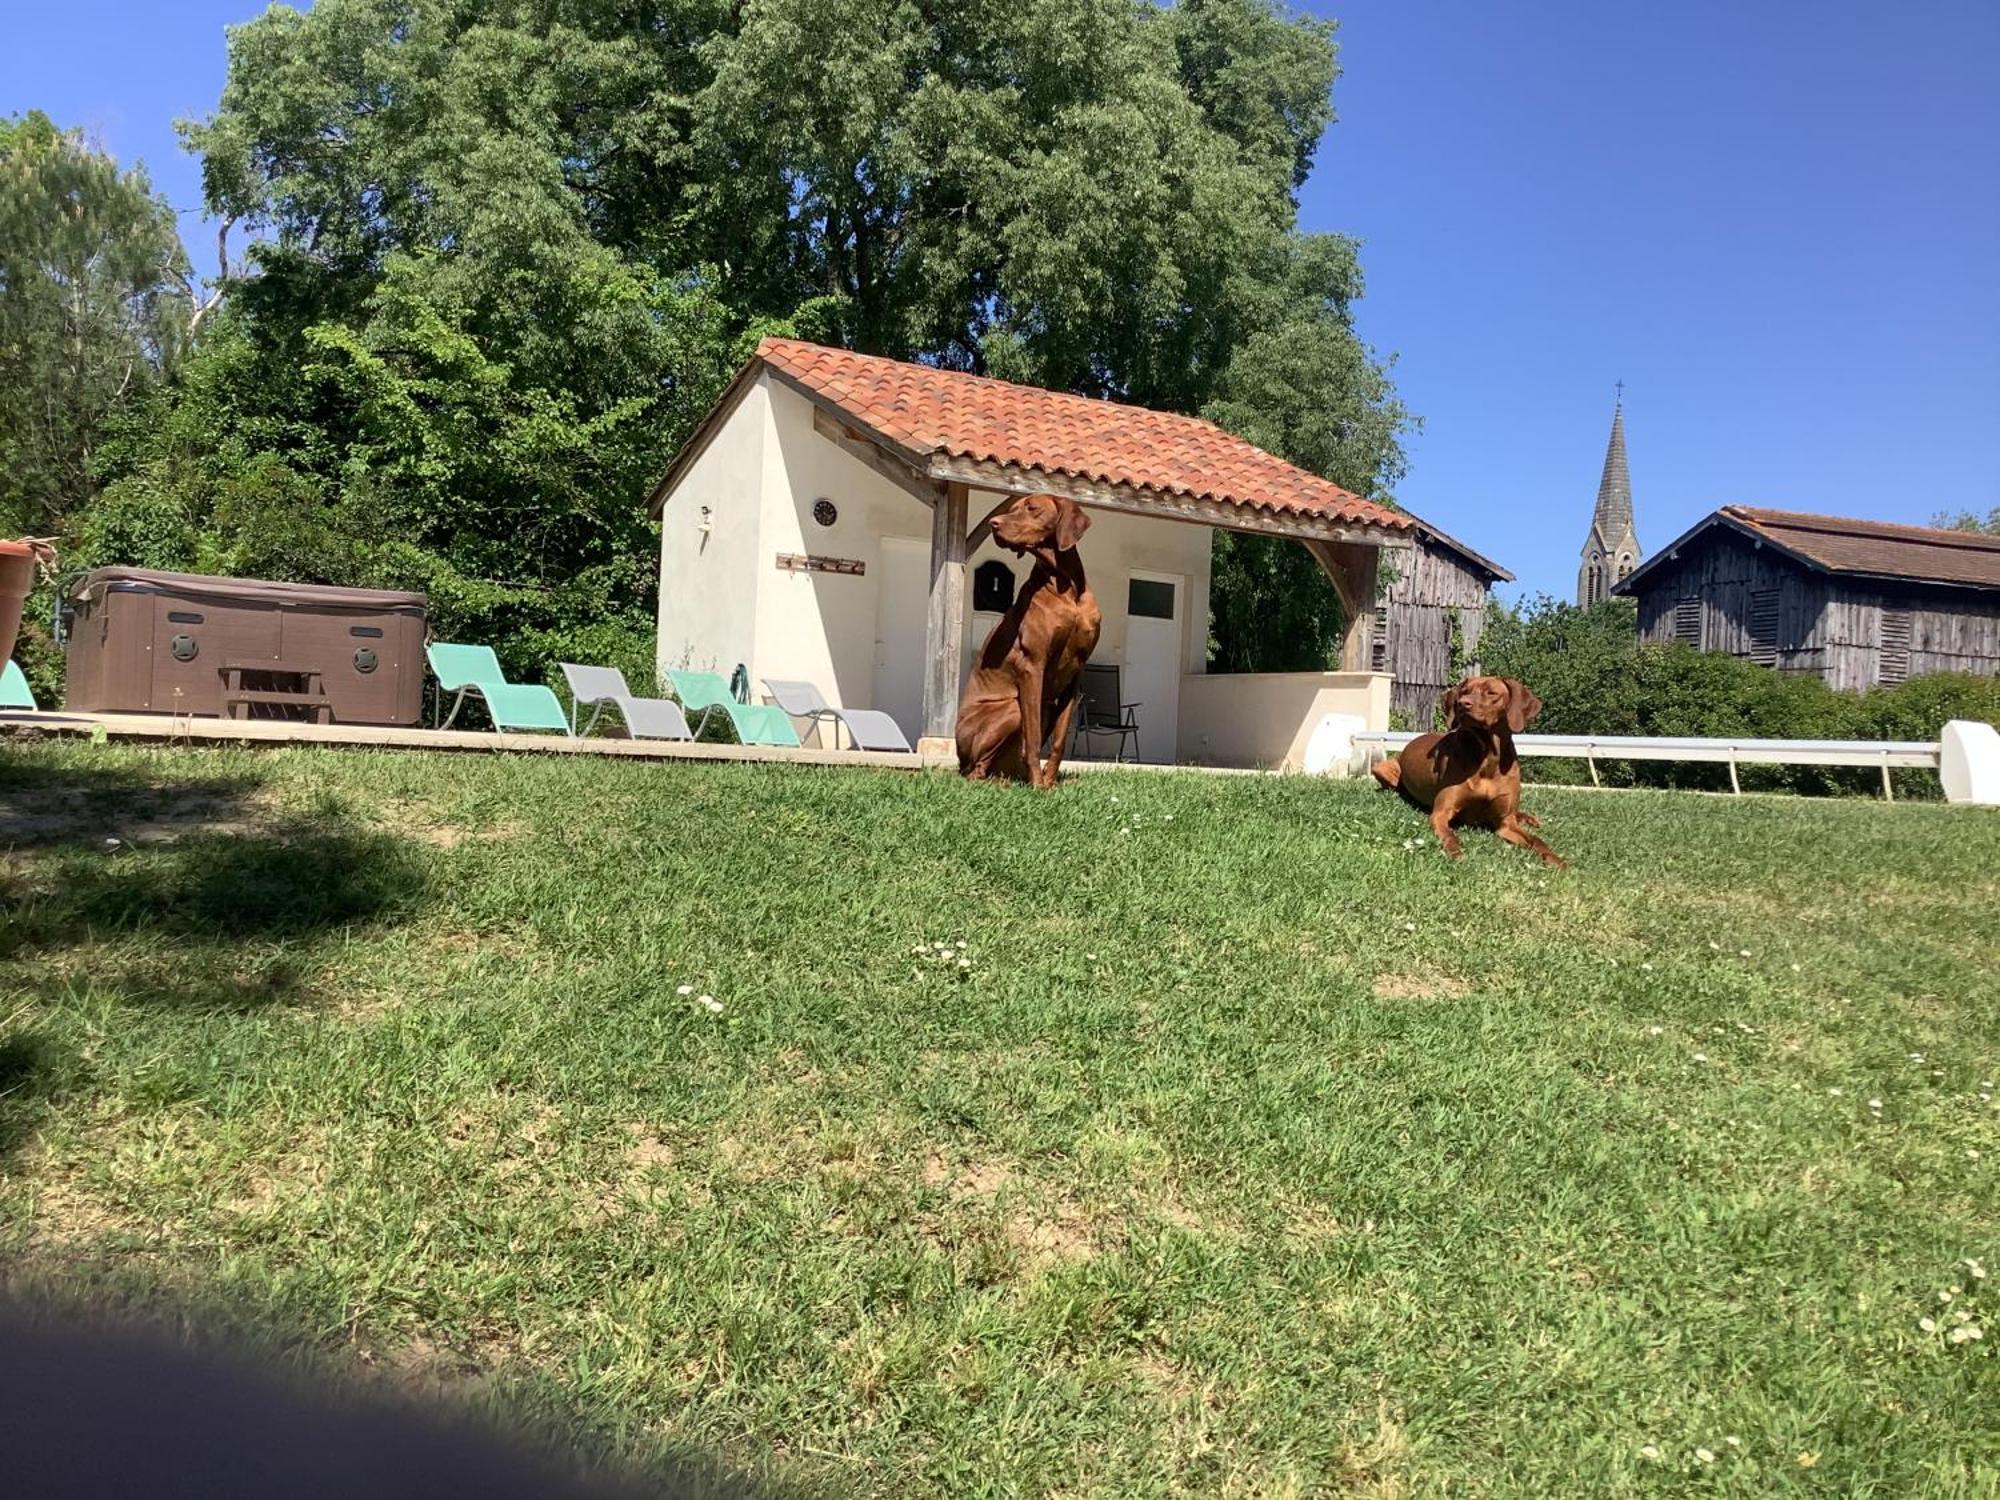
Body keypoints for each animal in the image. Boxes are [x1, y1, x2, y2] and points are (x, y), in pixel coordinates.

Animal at [956, 496, 1104, 800]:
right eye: (1012, 509)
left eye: (1032, 508)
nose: (993, 523)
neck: (1066, 586)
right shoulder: (1033, 666)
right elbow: (1033, 738)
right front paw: (1038, 785)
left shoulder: (1074, 676)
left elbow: (1059, 741)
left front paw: (1050, 783)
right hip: (1012, 709)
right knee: (973, 771)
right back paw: (1003, 783)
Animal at [1368, 680, 1568, 868]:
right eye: (1464, 691)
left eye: (1491, 693)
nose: (1463, 703)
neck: (1488, 757)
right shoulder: (1441, 813)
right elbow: (1449, 835)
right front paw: (1456, 854)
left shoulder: (1505, 824)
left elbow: (1536, 839)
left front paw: (1556, 860)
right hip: (1382, 767)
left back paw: (1528, 818)